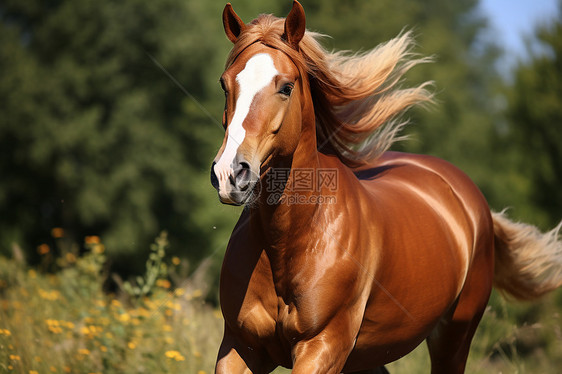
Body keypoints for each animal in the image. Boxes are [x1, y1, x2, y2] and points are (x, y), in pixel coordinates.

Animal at [209, 1, 560, 372]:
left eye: (286, 87)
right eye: (224, 84)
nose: (230, 173)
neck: (290, 242)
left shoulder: (322, 347)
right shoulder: (239, 345)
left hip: (454, 337)